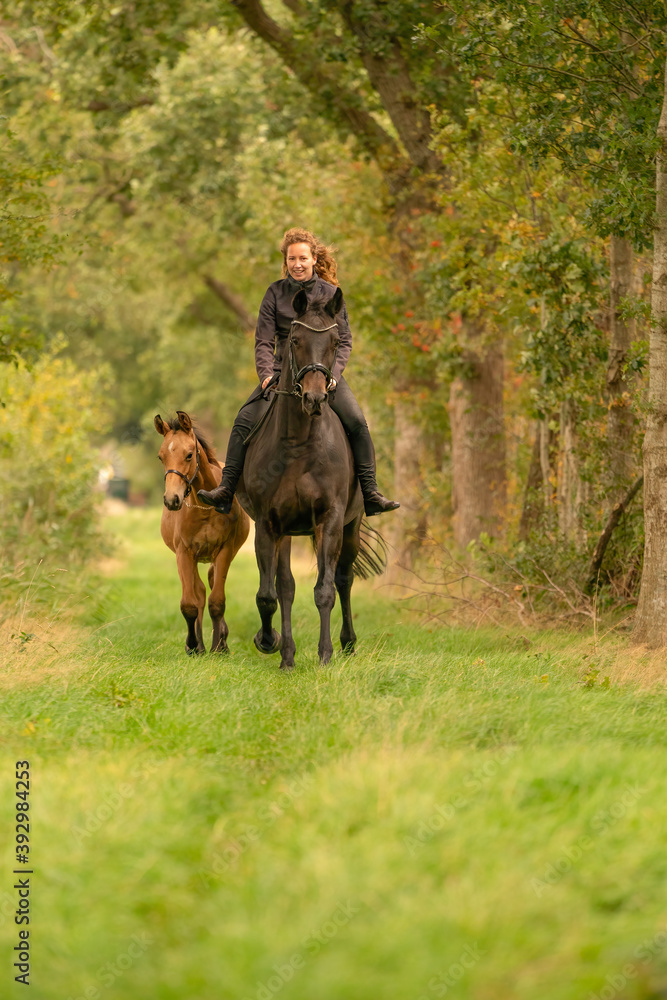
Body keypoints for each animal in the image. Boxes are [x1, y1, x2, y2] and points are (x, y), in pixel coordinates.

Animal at [154, 410, 250, 654]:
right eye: (161, 457)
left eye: (189, 455)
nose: (172, 499)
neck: (205, 506)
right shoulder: (184, 552)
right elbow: (190, 603)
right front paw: (193, 646)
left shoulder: (225, 550)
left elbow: (217, 601)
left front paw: (219, 647)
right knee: (199, 592)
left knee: (212, 583)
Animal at [236, 287, 386, 670]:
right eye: (296, 340)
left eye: (334, 342)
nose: (315, 397)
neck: (300, 444)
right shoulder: (269, 524)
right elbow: (270, 594)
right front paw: (271, 643)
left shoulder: (330, 519)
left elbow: (325, 590)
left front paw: (325, 655)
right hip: (288, 532)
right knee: (285, 587)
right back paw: (287, 653)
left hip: (351, 526)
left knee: (344, 579)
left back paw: (347, 642)